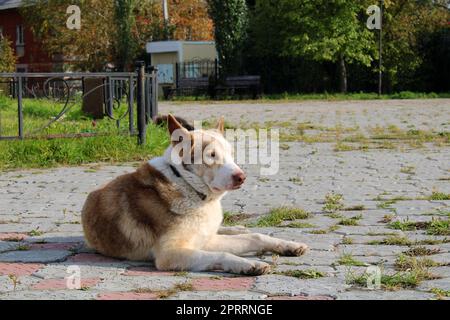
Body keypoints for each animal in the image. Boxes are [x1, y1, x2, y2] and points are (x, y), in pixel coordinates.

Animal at [81, 115, 308, 276]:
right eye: (211, 155)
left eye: (230, 153)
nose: (242, 177)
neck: (187, 186)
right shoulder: (171, 253)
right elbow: (224, 253)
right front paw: (249, 264)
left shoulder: (205, 240)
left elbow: (255, 237)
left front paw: (288, 246)